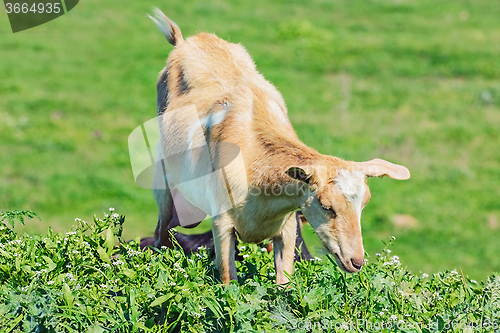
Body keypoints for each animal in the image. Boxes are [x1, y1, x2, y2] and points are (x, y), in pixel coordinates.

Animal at [148, 10, 410, 284]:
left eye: (364, 204)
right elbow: (228, 280)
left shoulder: (287, 228)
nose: (356, 262)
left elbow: (284, 284)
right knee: (160, 235)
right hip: (164, 190)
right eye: (326, 206)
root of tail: (186, 41)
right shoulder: (222, 223)